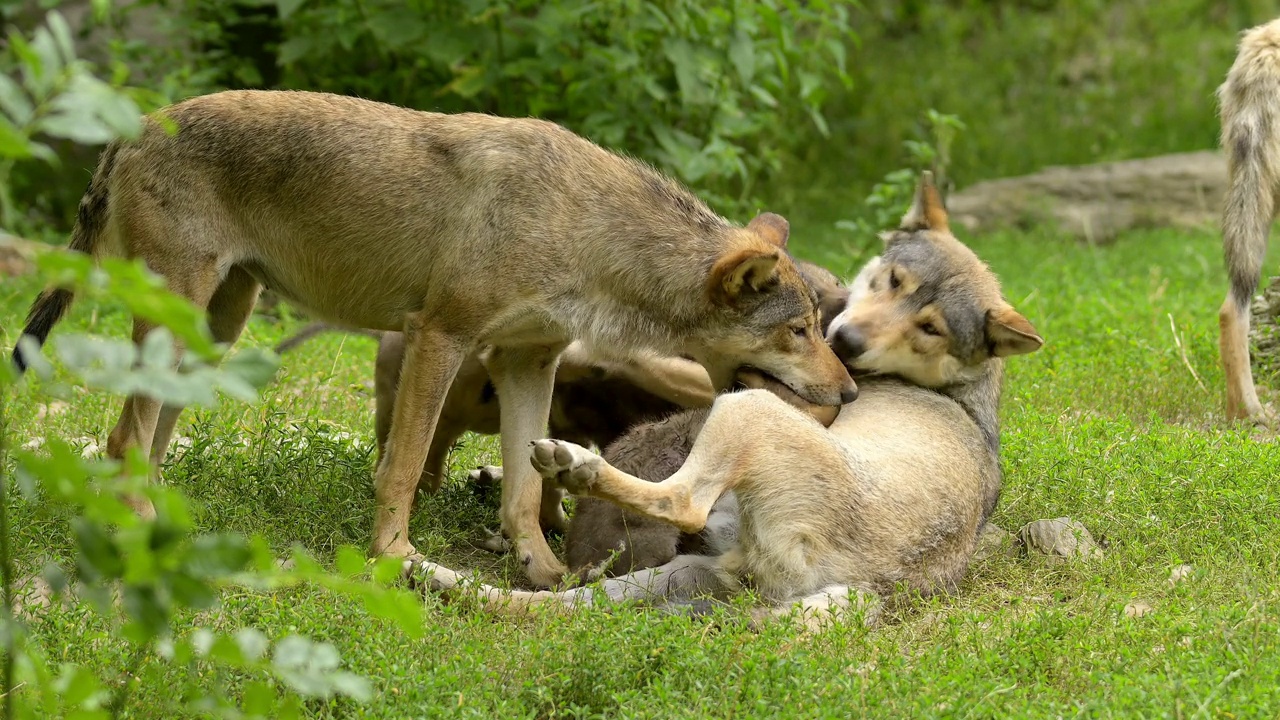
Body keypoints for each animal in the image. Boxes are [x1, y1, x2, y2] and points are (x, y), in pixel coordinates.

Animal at [15, 89, 855, 586]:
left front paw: (541, 570)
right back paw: (139, 529)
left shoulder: (528, 362)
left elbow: (523, 489)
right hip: (180, 324)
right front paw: (394, 557)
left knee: (147, 440)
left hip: (214, 331)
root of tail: (134, 127)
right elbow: (402, 467)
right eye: (800, 330)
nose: (850, 391)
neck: (590, 232)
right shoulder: (440, 337)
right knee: (123, 437)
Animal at [414, 172, 1044, 622]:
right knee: (543, 605)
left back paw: (574, 466)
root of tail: (866, 588)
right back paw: (433, 576)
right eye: (892, 281)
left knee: (680, 500)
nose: (846, 343)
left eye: (931, 328)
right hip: (675, 573)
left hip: (745, 414)